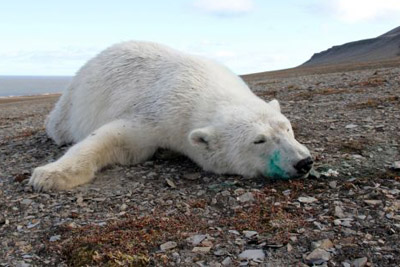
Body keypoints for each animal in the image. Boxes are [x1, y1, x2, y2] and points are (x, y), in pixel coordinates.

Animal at [29, 40, 314, 192]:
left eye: (287, 128)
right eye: (259, 140)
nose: (304, 162)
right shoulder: (159, 111)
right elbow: (112, 138)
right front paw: (47, 176)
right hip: (72, 101)